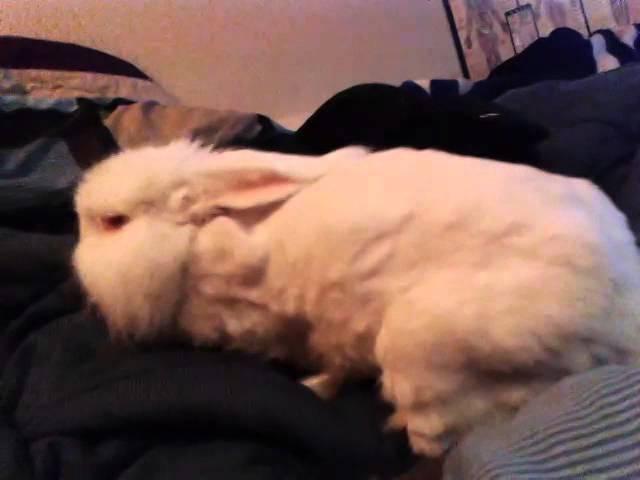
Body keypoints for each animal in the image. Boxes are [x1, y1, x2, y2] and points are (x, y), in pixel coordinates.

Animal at [72, 140, 640, 458]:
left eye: (113, 222)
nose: (77, 263)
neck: (193, 246)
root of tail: (624, 314)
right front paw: (319, 384)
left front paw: (315, 387)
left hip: (424, 341)